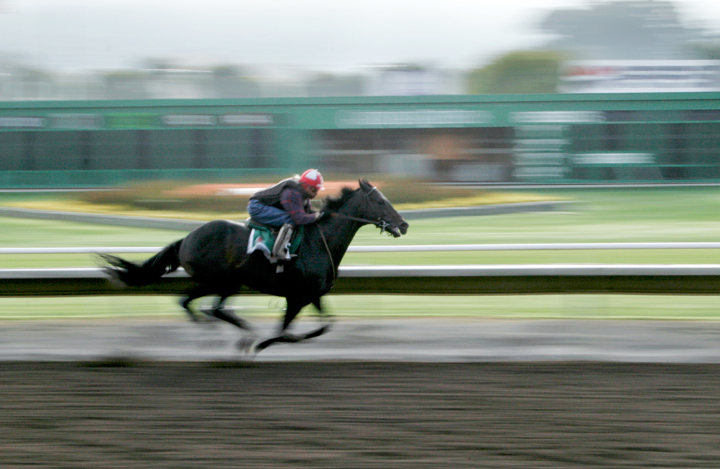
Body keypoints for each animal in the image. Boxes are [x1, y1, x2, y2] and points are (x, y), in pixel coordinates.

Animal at [98, 177, 408, 352]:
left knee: (212, 308)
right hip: (217, 280)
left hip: (229, 282)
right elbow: (284, 331)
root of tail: (186, 238)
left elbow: (325, 326)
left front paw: (269, 341)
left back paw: (240, 334)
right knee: (192, 304)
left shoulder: (313, 295)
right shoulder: (297, 297)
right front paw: (266, 344)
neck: (320, 241)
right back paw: (220, 334)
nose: (403, 225)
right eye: (381, 201)